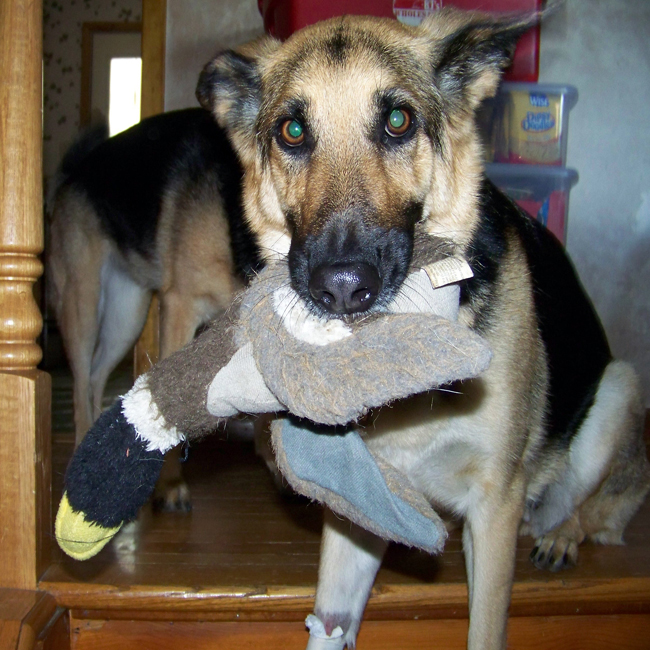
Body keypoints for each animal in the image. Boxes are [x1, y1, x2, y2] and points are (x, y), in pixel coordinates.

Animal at [47, 106, 260, 508]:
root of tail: (76, 171)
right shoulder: (181, 309)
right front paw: (171, 483)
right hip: (83, 309)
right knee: (81, 388)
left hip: (124, 319)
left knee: (96, 380)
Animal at [197, 10, 648, 648]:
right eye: (292, 131)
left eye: (397, 121)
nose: (341, 286)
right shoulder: (358, 514)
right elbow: (328, 622)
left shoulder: (494, 509)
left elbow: (486, 629)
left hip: (617, 390)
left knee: (599, 508)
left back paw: (564, 533)